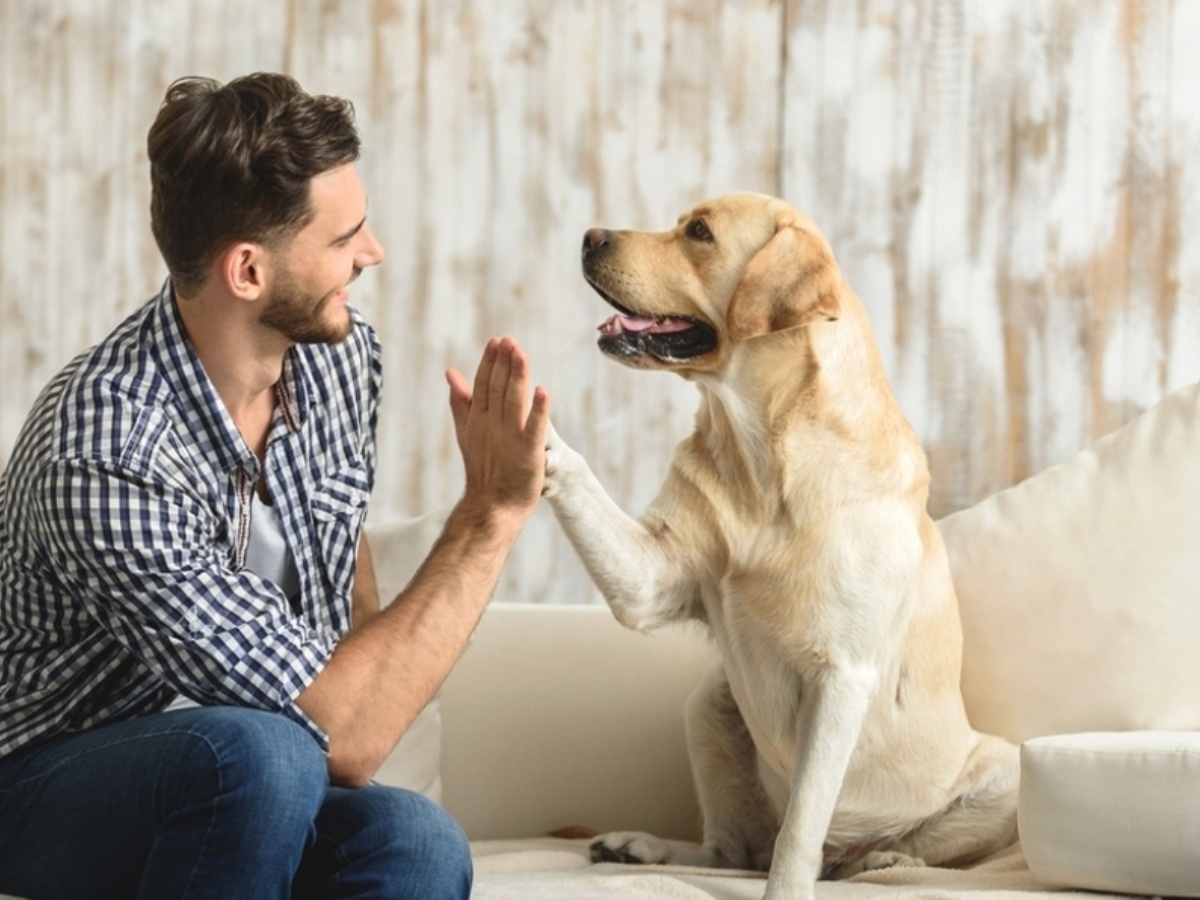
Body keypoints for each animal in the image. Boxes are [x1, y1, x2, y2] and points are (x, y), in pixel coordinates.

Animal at [544, 194, 1022, 897]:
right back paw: (639, 846)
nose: (588, 236)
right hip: (709, 704)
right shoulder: (651, 580)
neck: (764, 456)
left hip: (1005, 773)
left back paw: (879, 859)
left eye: (700, 232)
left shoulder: (841, 677)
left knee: (860, 851)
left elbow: (800, 834)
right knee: (730, 850)